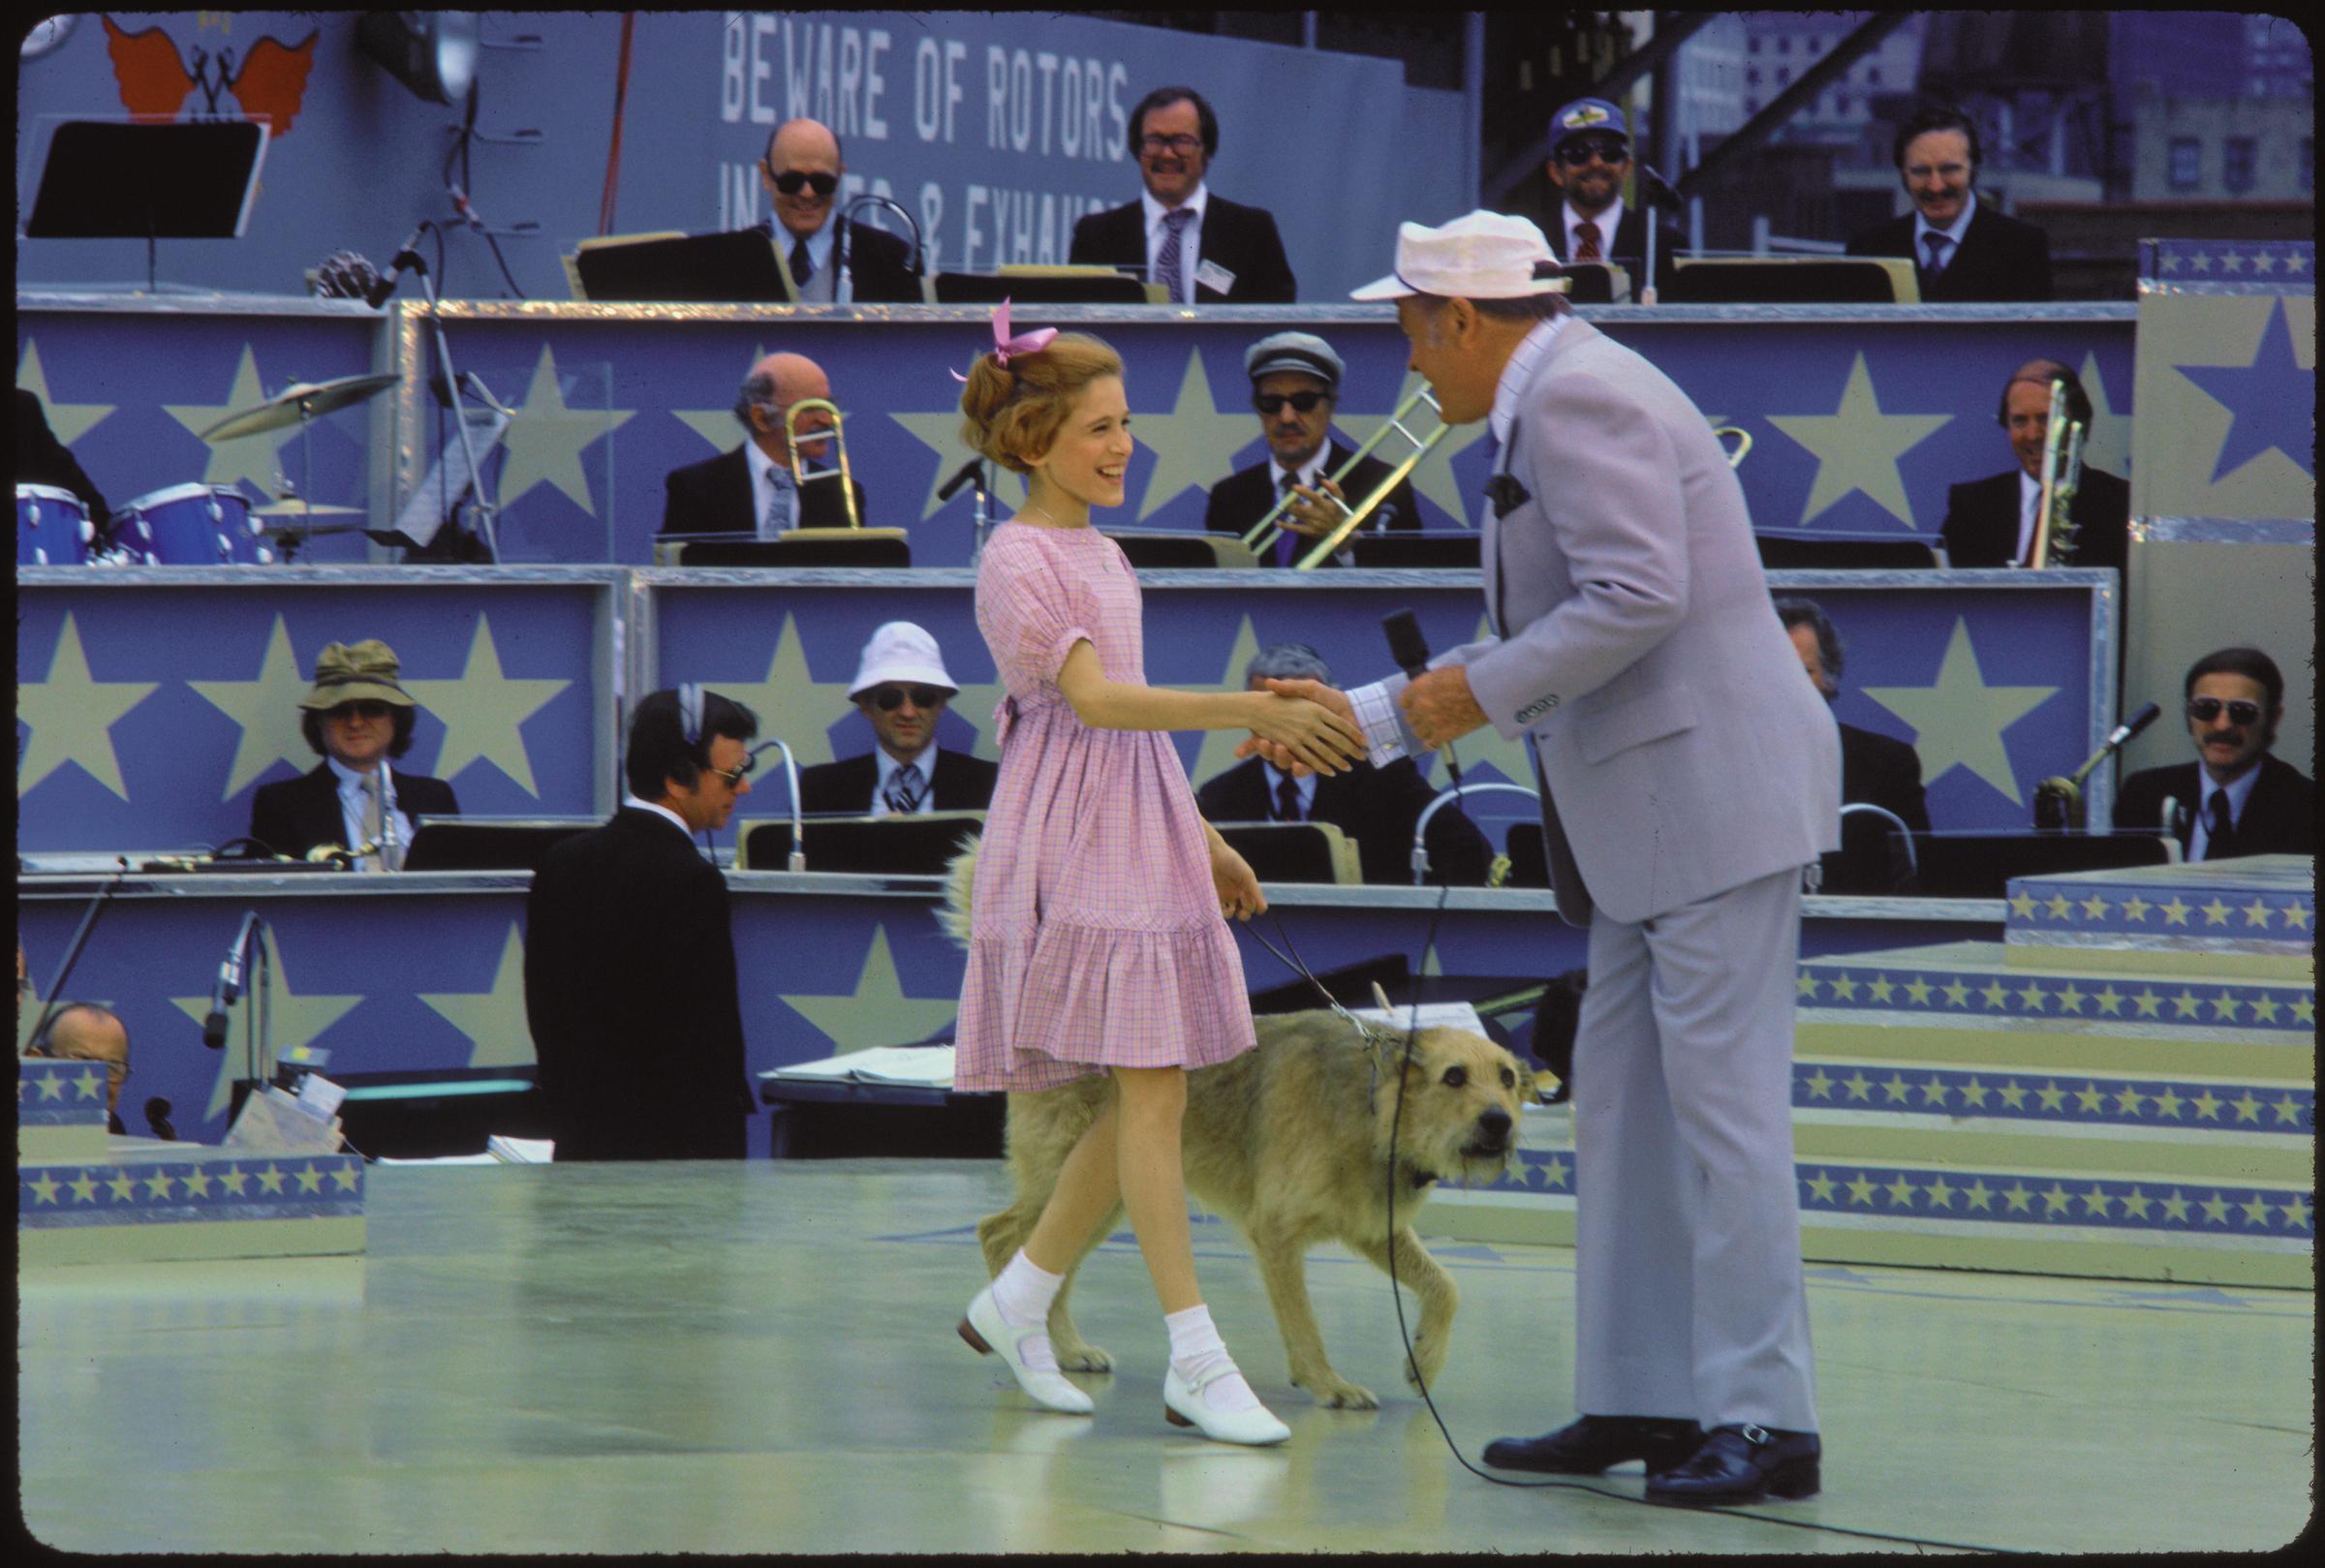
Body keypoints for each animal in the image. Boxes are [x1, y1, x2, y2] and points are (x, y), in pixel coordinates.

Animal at [953, 836, 1534, 1412]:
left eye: (1507, 1078)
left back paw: (1066, 1348)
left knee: (1050, 1259)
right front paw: (1327, 1382)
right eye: (1454, 1077)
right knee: (1000, 1235)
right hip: (1066, 1181)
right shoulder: (1276, 1233)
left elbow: (1444, 1285)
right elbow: (1303, 1322)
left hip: (1102, 1195)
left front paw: (1426, 1359)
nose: (1498, 1122)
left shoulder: (1375, 1228)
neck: (1372, 1111)